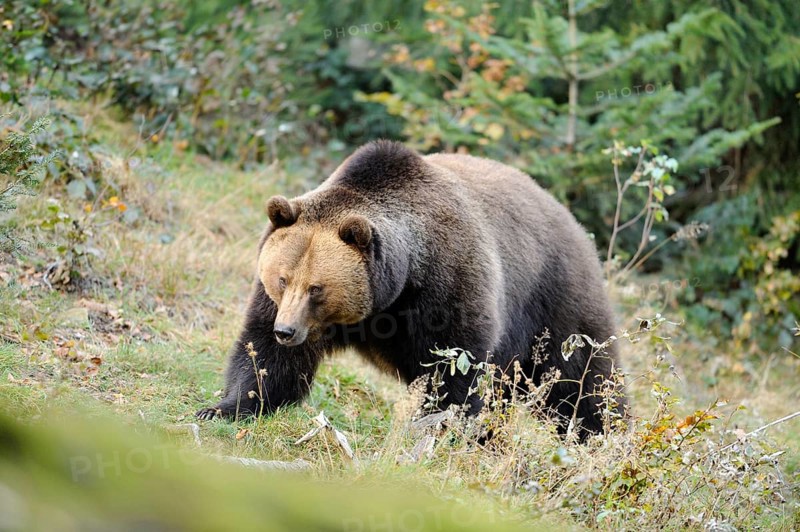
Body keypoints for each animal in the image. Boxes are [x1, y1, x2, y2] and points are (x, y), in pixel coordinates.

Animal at [196, 140, 625, 437]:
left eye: (317, 288)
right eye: (282, 279)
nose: (287, 331)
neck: (392, 292)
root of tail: (572, 221)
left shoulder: (447, 284)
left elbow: (454, 369)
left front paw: (439, 428)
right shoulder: (284, 308)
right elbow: (266, 358)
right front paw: (224, 407)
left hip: (554, 302)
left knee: (581, 383)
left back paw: (602, 436)